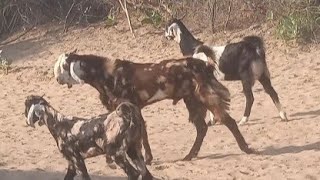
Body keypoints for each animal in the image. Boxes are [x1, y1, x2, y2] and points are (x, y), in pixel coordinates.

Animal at [24, 95, 152, 179]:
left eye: (26, 106)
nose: (25, 119)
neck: (59, 124)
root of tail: (128, 116)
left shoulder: (78, 160)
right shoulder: (72, 162)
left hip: (116, 154)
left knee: (133, 173)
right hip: (134, 151)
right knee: (146, 174)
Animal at [53, 51, 255, 163]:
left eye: (63, 66)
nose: (56, 79)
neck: (106, 74)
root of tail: (204, 64)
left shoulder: (130, 108)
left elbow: (140, 134)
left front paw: (144, 158)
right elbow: (142, 133)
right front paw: (145, 158)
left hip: (206, 97)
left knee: (228, 121)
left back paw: (245, 148)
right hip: (192, 101)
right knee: (202, 128)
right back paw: (190, 155)